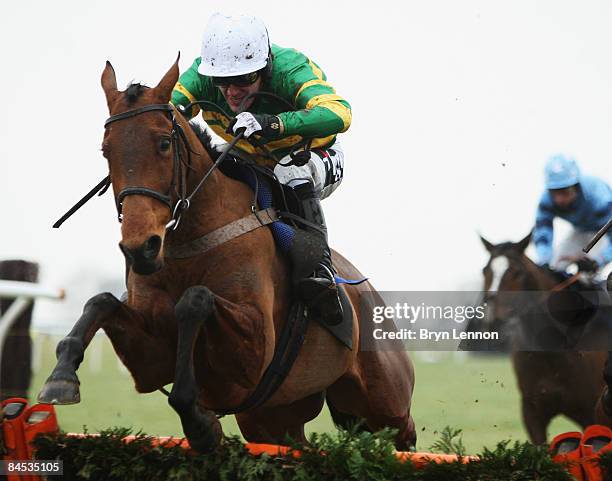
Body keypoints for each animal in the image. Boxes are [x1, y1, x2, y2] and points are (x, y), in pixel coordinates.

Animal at [35, 58, 416, 452]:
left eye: (163, 143)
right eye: (106, 150)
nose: (141, 248)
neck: (191, 242)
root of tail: (368, 292)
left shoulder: (252, 352)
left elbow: (196, 300)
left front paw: (200, 422)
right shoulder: (151, 362)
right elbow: (101, 301)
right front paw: (61, 377)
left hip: (383, 400)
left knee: (403, 429)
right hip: (273, 418)